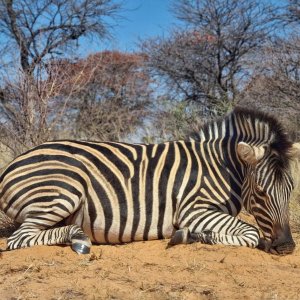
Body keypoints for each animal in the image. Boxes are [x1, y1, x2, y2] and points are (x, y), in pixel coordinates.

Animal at [0, 106, 298, 254]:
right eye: (260, 192)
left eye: (291, 190)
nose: (286, 247)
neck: (221, 168)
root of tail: (11, 165)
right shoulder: (193, 210)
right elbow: (252, 233)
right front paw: (192, 236)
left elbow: (253, 233)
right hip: (63, 191)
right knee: (18, 239)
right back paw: (79, 238)